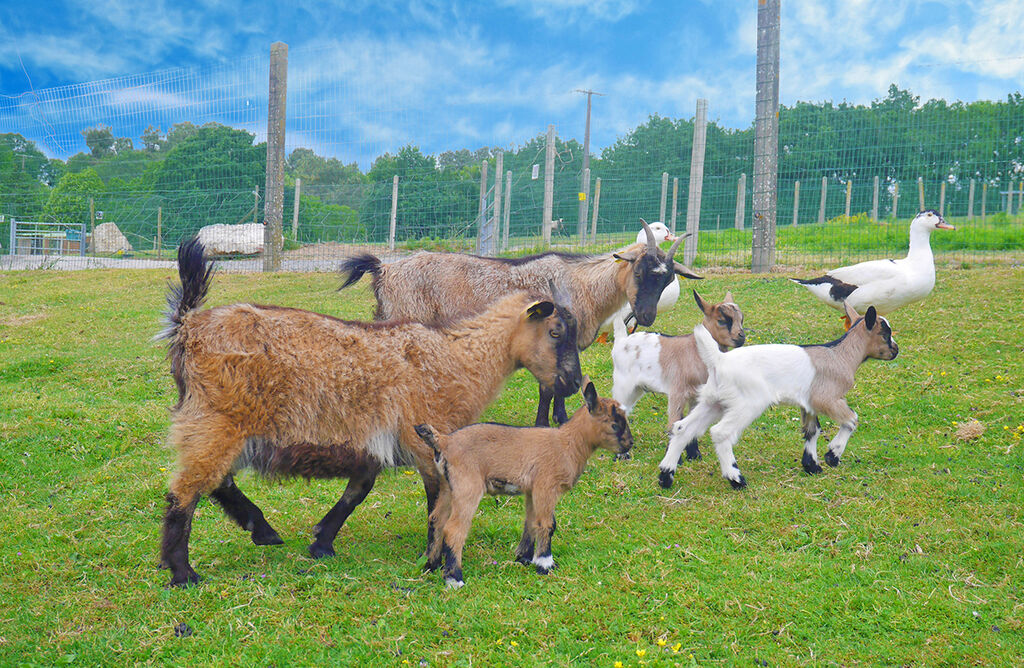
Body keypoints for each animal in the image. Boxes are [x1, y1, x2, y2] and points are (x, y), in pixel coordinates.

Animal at [339, 220, 700, 428]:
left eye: (668, 278)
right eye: (639, 270)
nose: (647, 316)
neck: (581, 284)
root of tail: (384, 269)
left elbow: (559, 385)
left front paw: (558, 417)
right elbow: (549, 387)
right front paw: (546, 422)